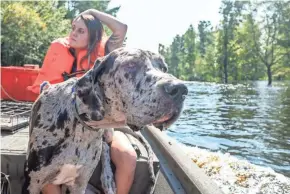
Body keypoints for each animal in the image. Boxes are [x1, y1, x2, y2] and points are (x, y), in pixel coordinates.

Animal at [22, 47, 188, 194]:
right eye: (131, 64)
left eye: (164, 68)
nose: (180, 89)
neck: (80, 126)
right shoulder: (32, 182)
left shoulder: (79, 184)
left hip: (108, 134)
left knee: (106, 147)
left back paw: (108, 177)